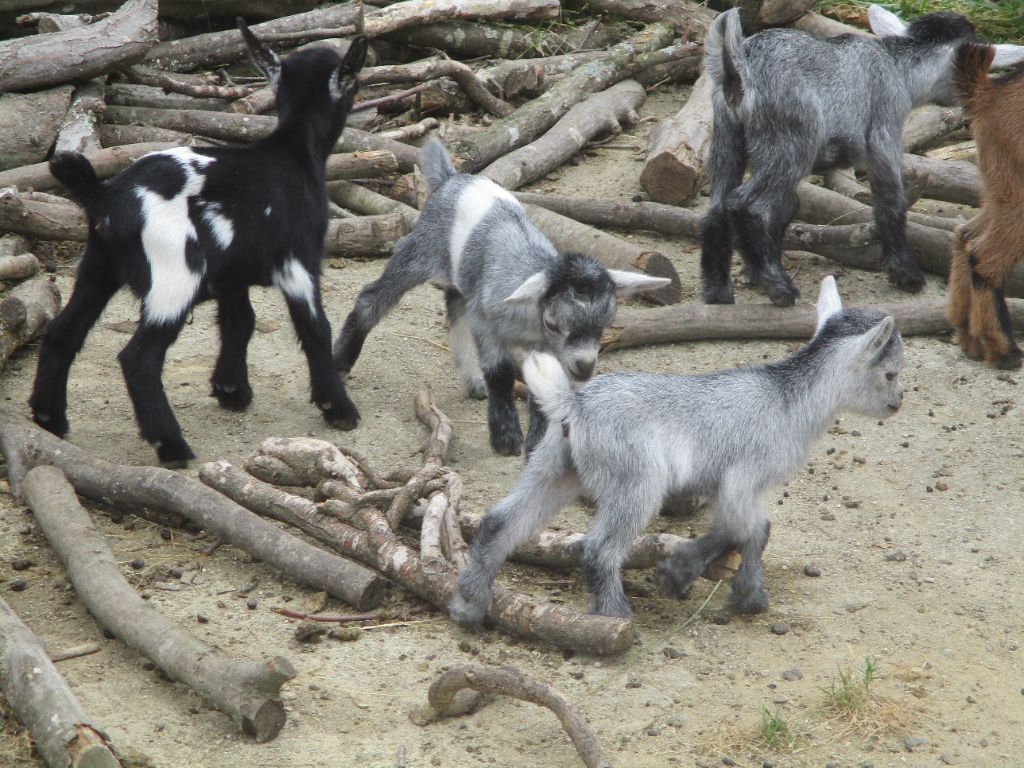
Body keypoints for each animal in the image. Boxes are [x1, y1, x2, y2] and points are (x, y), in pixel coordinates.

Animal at [29, 24, 368, 466]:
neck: (294, 154)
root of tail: (105, 196)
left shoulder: (232, 271)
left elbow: (240, 321)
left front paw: (231, 390)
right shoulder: (298, 260)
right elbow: (315, 328)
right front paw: (338, 408)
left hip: (98, 265)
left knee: (61, 333)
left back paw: (49, 419)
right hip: (174, 272)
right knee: (139, 358)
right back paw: (171, 444)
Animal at [700, 4, 1024, 309]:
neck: (897, 66)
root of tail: (740, 67)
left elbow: (788, 207)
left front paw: (750, 273)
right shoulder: (884, 132)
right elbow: (890, 201)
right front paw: (907, 276)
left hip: (727, 137)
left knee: (717, 208)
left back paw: (718, 292)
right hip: (791, 143)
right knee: (748, 205)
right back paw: (779, 288)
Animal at [942, 44, 1024, 370]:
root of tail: (987, 92)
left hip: (997, 188)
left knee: (965, 236)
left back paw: (967, 336)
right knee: (984, 258)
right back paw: (1004, 350)